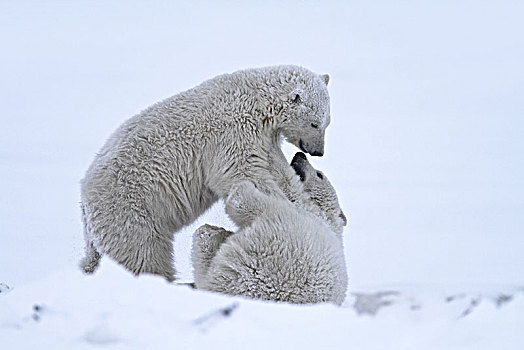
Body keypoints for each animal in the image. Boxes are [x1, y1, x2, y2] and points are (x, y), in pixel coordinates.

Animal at [79, 65, 332, 282]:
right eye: (314, 123)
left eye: (327, 121)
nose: (317, 151)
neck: (256, 99)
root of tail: (85, 200)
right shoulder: (233, 132)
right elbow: (242, 172)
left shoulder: (261, 137)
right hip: (131, 210)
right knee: (143, 253)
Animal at [189, 152, 348, 304]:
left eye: (319, 174)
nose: (300, 155)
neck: (329, 220)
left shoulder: (306, 210)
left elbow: (288, 186)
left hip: (283, 235)